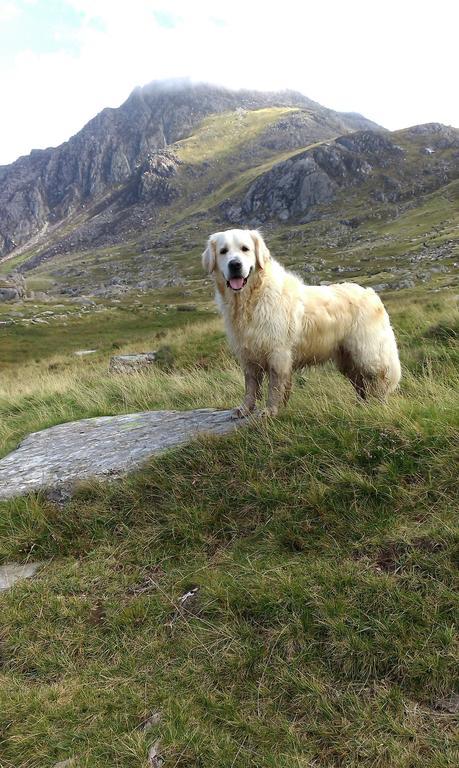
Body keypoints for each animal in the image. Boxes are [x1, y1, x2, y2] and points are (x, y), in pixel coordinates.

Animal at [203, 230, 400, 416]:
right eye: (223, 251)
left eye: (245, 248)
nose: (235, 265)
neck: (251, 298)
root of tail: (371, 293)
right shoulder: (248, 353)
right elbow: (250, 385)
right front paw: (245, 408)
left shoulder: (278, 352)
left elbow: (275, 385)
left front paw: (271, 410)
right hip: (347, 358)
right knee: (360, 382)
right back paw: (360, 405)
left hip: (368, 353)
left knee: (378, 379)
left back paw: (379, 406)